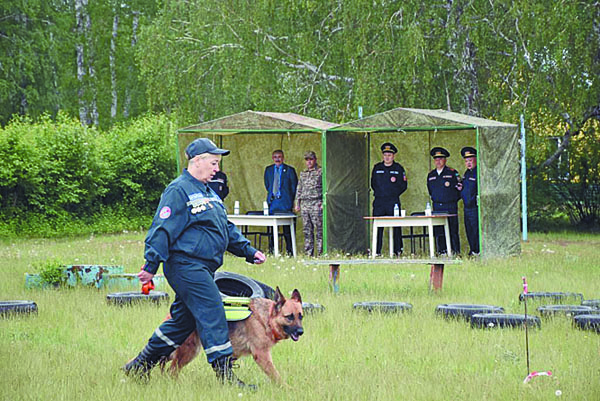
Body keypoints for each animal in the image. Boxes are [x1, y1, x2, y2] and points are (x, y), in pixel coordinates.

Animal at [164, 286, 302, 382]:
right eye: (289, 317)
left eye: (300, 316)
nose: (301, 332)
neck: (266, 318)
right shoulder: (262, 355)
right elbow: (276, 375)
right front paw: (287, 389)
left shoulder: (234, 354)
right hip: (189, 350)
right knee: (171, 370)